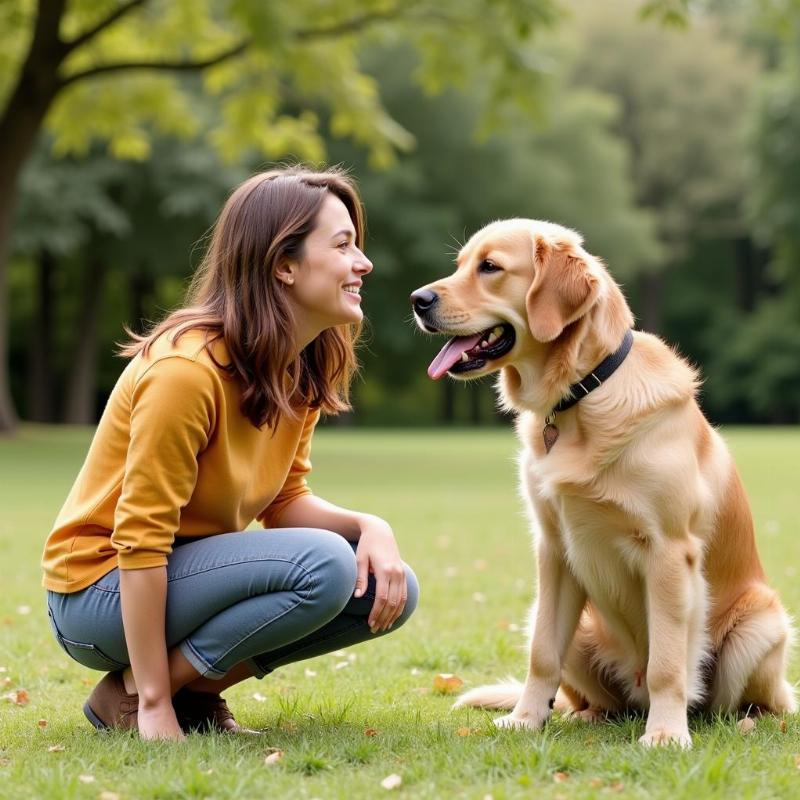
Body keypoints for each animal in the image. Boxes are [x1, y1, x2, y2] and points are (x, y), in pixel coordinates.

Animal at [410, 217, 796, 744]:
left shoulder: (669, 551)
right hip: (576, 624)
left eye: (489, 267)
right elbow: (542, 655)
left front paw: (666, 734)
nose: (417, 299)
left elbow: (668, 664)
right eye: (461, 265)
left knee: (748, 704)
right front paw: (525, 719)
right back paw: (585, 714)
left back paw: (741, 721)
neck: (581, 395)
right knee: (596, 696)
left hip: (759, 624)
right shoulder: (554, 548)